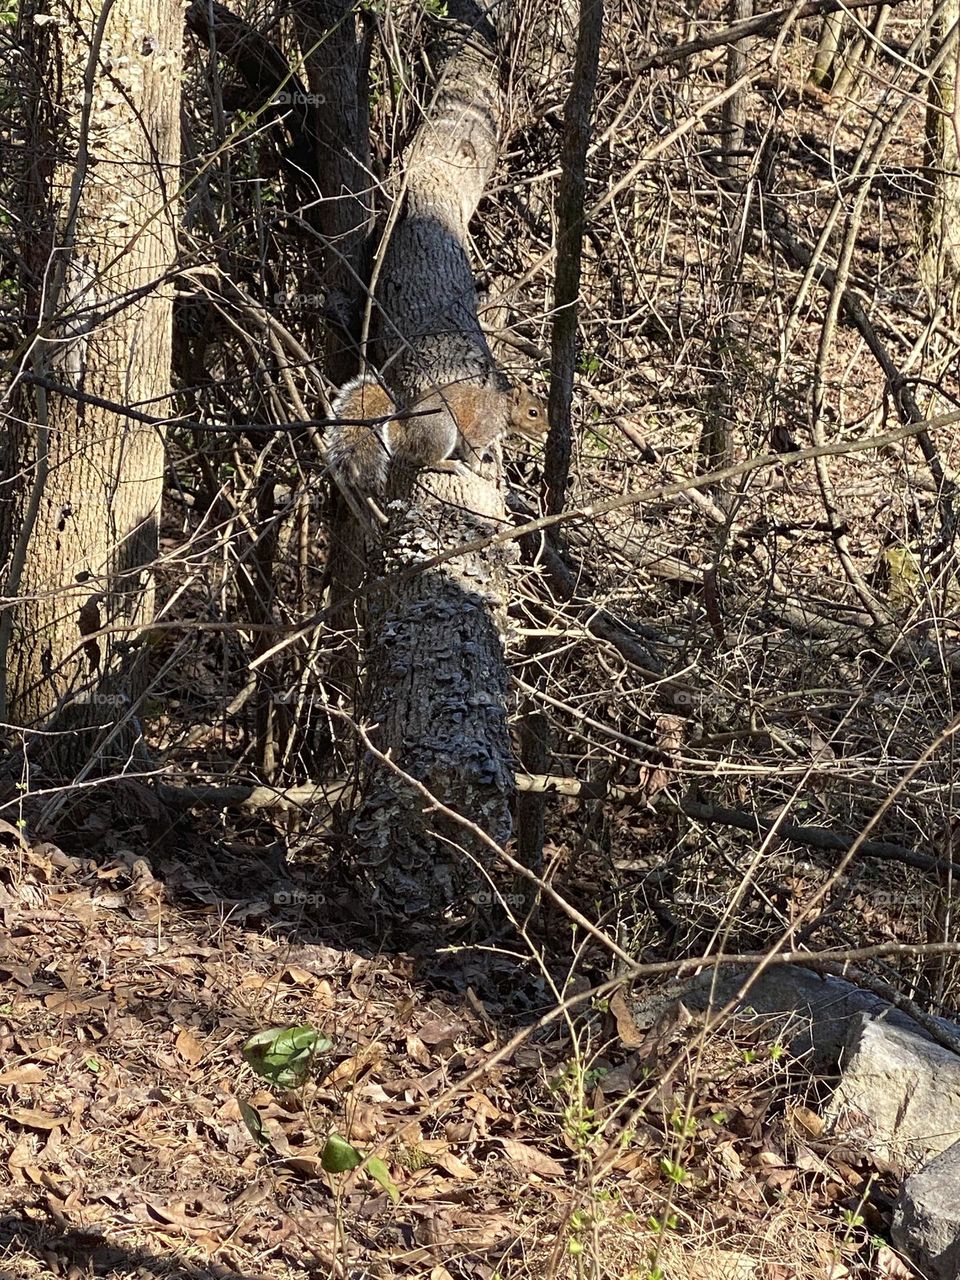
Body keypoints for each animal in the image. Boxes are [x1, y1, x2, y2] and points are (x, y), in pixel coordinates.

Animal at [327, 373, 548, 510]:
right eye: (533, 413)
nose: (547, 429)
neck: (503, 409)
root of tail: (406, 433)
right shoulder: (479, 431)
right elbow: (474, 453)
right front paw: (481, 470)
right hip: (443, 429)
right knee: (429, 460)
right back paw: (452, 465)